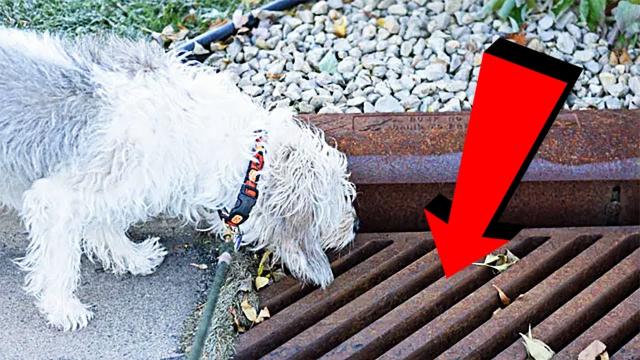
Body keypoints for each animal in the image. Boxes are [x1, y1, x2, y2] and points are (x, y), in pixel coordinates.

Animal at [0, 29, 358, 330]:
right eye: (339, 198)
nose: (355, 225)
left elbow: (105, 228)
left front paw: (134, 257)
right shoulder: (60, 198)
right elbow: (61, 259)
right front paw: (62, 307)